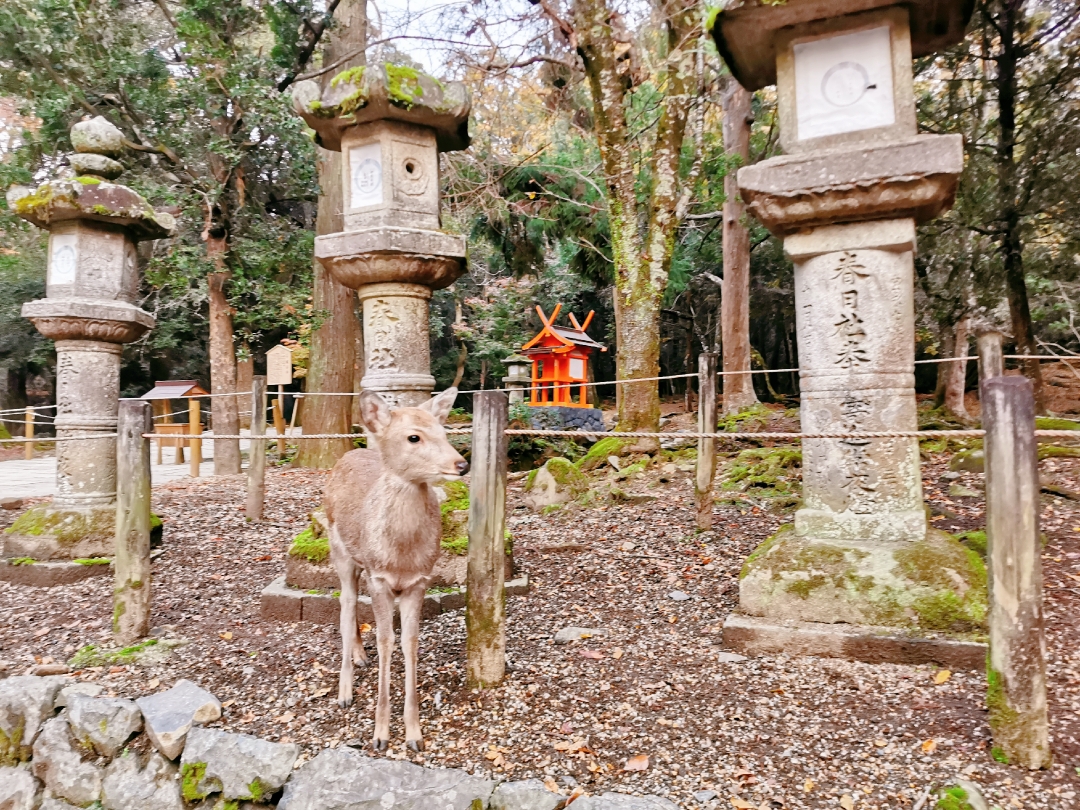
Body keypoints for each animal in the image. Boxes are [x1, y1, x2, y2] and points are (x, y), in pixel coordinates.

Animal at [324, 388, 468, 756]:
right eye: (413, 437)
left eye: (444, 431)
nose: (461, 464)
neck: (401, 557)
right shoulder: (380, 578)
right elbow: (386, 640)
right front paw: (380, 734)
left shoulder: (420, 580)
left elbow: (410, 641)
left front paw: (415, 734)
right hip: (339, 551)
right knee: (346, 606)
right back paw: (344, 691)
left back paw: (360, 656)